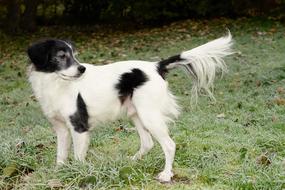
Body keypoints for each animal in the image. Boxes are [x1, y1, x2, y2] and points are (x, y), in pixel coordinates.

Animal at [25, 33, 232, 183]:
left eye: (74, 56)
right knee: (148, 143)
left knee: (169, 144)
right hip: (137, 114)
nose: (82, 69)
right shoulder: (61, 129)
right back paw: (131, 162)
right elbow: (60, 156)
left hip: (149, 115)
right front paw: (59, 175)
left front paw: (78, 175)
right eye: (61, 56)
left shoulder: (79, 127)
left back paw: (166, 174)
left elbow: (77, 157)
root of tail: (156, 66)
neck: (56, 83)